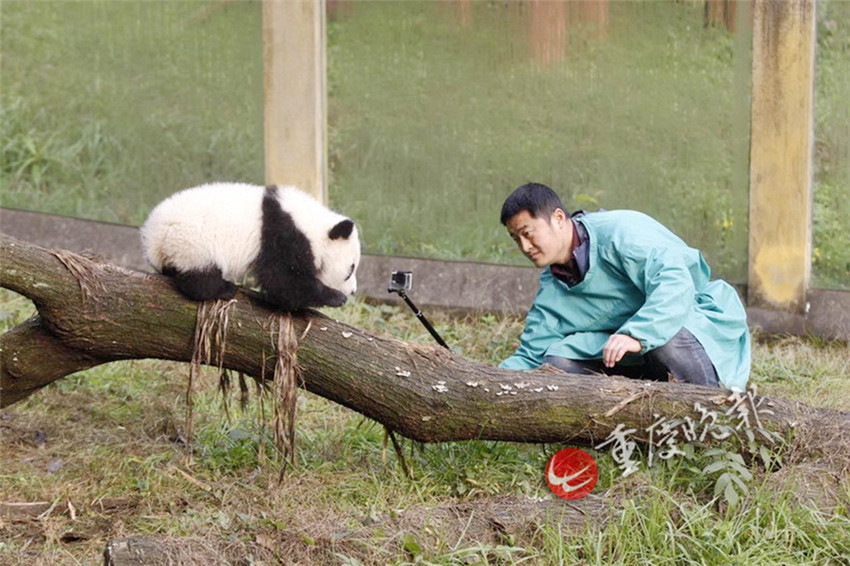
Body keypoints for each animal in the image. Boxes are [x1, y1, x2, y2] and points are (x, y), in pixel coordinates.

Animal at [140, 182, 360, 311]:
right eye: (350, 270)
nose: (353, 291)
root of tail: (154, 234)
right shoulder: (282, 237)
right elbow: (284, 283)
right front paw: (335, 297)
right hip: (193, 242)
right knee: (199, 276)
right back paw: (224, 289)